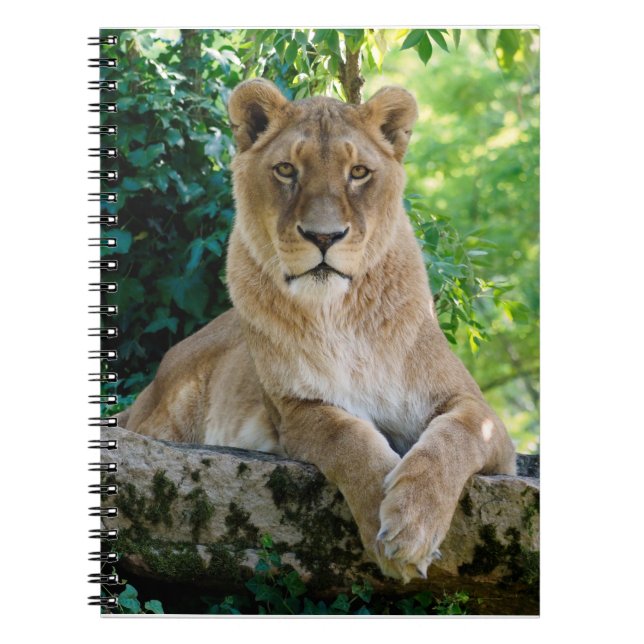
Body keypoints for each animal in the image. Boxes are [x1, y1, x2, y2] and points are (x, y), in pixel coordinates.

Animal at [118, 78, 517, 582]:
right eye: (287, 169)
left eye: (359, 172)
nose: (324, 237)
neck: (340, 315)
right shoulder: (294, 410)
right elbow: (347, 437)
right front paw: (384, 519)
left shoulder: (480, 415)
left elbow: (454, 438)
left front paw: (412, 524)